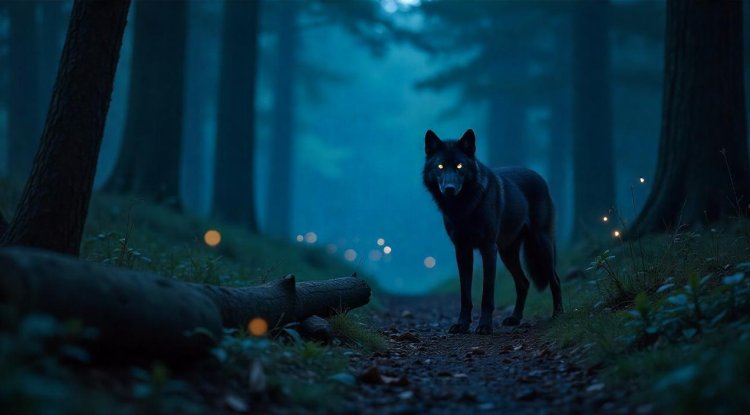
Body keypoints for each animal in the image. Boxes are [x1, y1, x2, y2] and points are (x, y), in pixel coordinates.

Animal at [422, 129, 563, 335]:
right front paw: (462, 324)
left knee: (555, 279)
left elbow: (486, 295)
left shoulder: (488, 249)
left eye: (459, 166)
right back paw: (514, 318)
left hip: (540, 245)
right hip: (508, 253)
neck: (464, 208)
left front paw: (485, 326)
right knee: (524, 283)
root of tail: (538, 175)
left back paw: (558, 314)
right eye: (440, 166)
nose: (449, 189)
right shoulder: (462, 250)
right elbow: (465, 295)